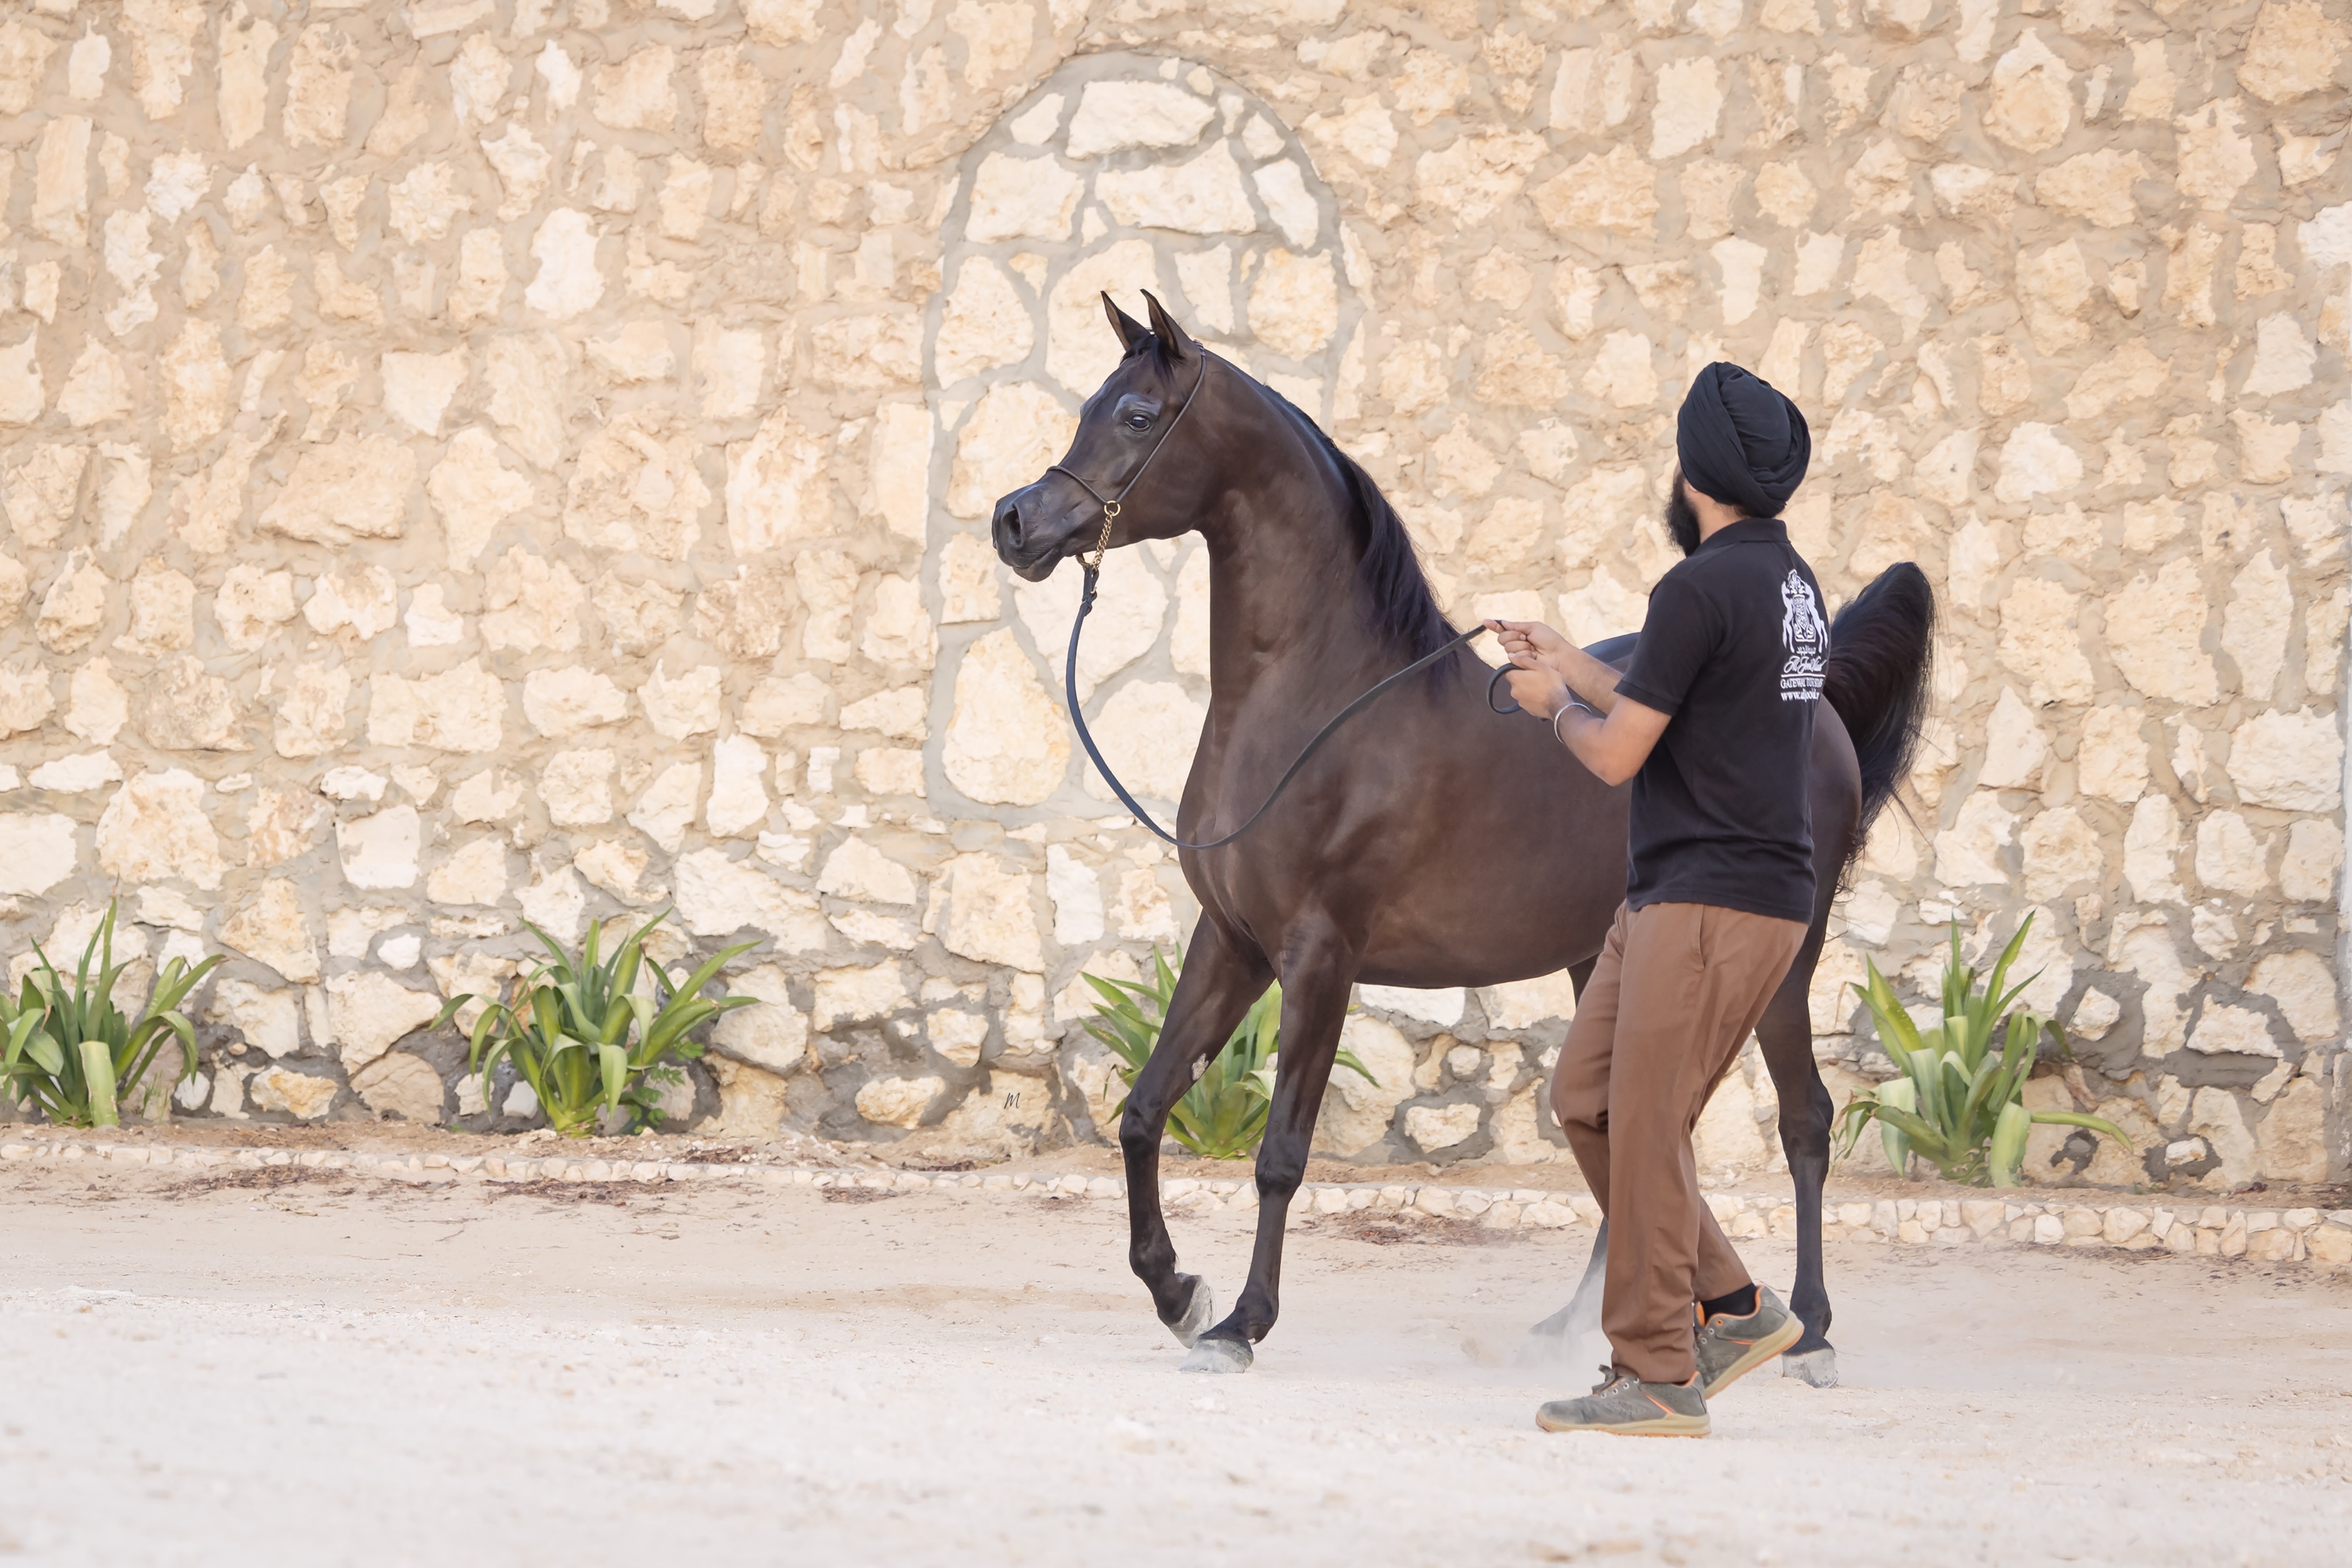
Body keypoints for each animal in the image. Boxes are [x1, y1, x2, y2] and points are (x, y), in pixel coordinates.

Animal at [990, 293, 1934, 1384]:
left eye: (1139, 415)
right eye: (1090, 406)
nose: (1014, 522)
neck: (1319, 707)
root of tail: (1820, 713)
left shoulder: (1320, 957)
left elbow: (1281, 1153)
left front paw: (1242, 1323)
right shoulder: (1231, 942)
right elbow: (1144, 1111)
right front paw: (1180, 1293)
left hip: (1781, 962)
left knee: (1802, 1120)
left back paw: (1809, 1330)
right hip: (1608, 961)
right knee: (1649, 1123)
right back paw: (1612, 1324)